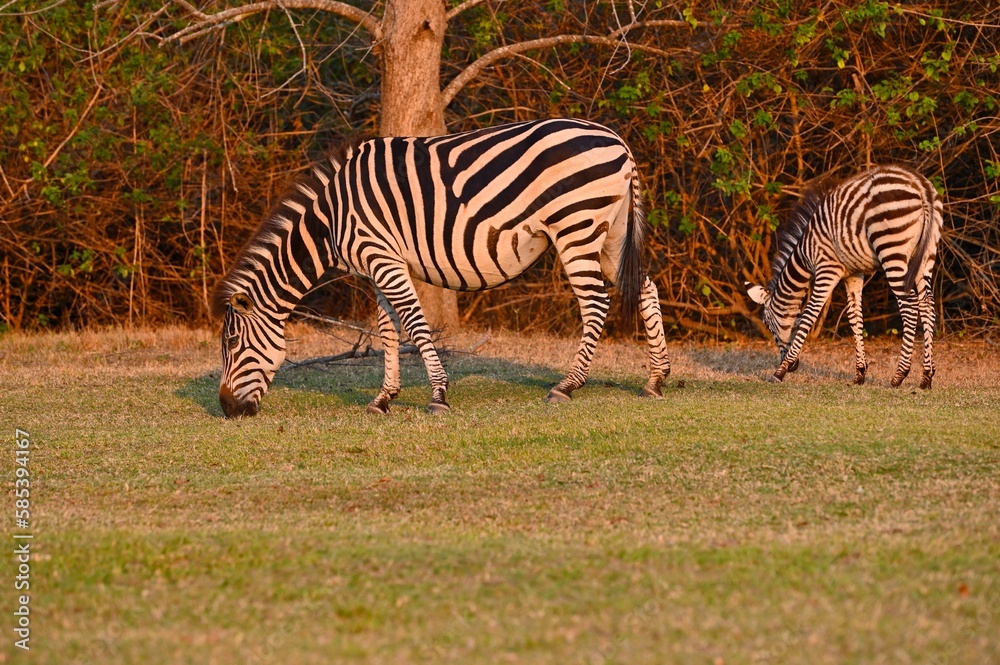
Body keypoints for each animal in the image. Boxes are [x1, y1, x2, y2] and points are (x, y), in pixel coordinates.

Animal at [211, 118, 670, 418]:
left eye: (231, 344)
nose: (227, 409)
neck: (331, 221)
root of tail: (617, 140)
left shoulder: (383, 258)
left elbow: (415, 326)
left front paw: (437, 395)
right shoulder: (377, 267)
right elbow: (388, 332)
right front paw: (384, 399)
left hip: (576, 226)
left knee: (595, 304)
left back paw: (567, 386)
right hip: (612, 231)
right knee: (646, 288)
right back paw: (655, 380)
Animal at [745, 164, 943, 388]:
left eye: (768, 325)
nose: (794, 366)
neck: (804, 253)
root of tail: (921, 185)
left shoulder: (827, 268)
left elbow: (809, 314)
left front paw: (780, 371)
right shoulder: (854, 273)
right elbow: (854, 317)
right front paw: (860, 373)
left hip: (892, 250)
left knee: (909, 307)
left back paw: (899, 375)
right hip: (926, 256)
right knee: (927, 305)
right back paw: (926, 376)